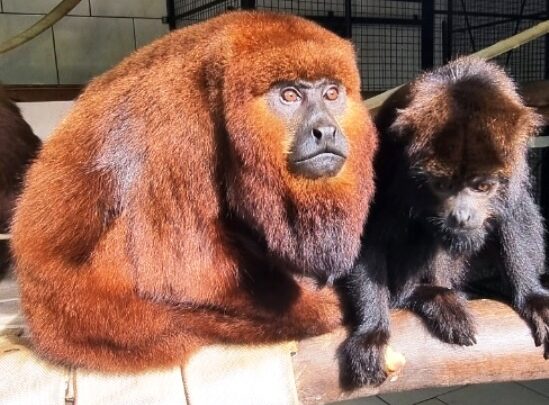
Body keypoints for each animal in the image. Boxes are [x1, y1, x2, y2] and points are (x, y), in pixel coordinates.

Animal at [10, 11, 376, 370]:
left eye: (332, 94)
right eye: (289, 95)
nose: (326, 130)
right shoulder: (172, 126)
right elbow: (184, 273)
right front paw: (318, 305)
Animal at [340, 56, 544, 386]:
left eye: (482, 186)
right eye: (443, 185)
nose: (461, 214)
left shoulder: (515, 161)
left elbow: (512, 212)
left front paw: (533, 297)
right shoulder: (391, 159)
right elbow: (369, 235)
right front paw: (371, 331)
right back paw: (426, 295)